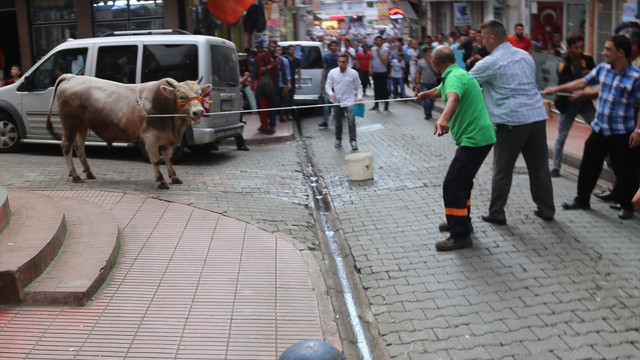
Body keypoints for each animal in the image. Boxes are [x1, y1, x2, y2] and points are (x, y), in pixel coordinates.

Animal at [45, 75, 210, 190]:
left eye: (200, 94)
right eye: (181, 97)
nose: (198, 112)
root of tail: (71, 77)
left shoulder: (165, 137)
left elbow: (169, 158)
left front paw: (174, 177)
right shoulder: (150, 138)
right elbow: (156, 160)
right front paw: (161, 181)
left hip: (82, 126)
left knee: (79, 148)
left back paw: (89, 172)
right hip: (70, 124)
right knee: (66, 147)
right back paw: (75, 175)